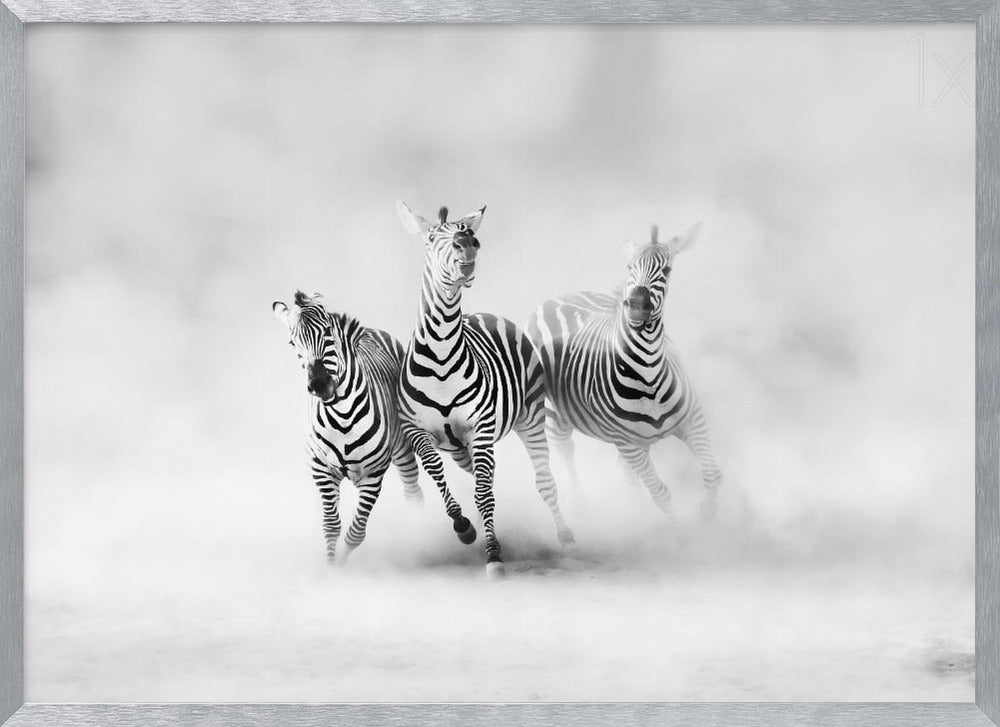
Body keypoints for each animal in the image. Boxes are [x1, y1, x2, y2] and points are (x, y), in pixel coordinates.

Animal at [273, 291, 424, 562]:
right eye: (292, 343)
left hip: (403, 449)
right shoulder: (321, 468)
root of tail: (371, 330)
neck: (342, 416)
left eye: (328, 331)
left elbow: (356, 533)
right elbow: (331, 526)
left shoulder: (374, 473)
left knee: (413, 492)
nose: (319, 385)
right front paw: (332, 567)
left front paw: (343, 564)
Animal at [396, 201, 575, 577]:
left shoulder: (480, 428)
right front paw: (464, 527)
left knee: (543, 480)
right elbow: (439, 475)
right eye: (431, 238)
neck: (441, 355)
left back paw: (566, 537)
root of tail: (486, 314)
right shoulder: (417, 431)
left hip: (530, 418)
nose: (468, 244)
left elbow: (483, 493)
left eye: (468, 233)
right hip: (460, 447)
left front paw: (493, 554)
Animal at [526, 223, 722, 528]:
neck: (649, 372)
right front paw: (679, 534)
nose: (637, 304)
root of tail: (559, 297)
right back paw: (580, 506)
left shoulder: (692, 420)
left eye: (667, 270)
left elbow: (713, 472)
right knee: (564, 449)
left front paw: (708, 513)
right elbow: (661, 493)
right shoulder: (628, 444)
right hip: (556, 414)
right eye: (630, 267)